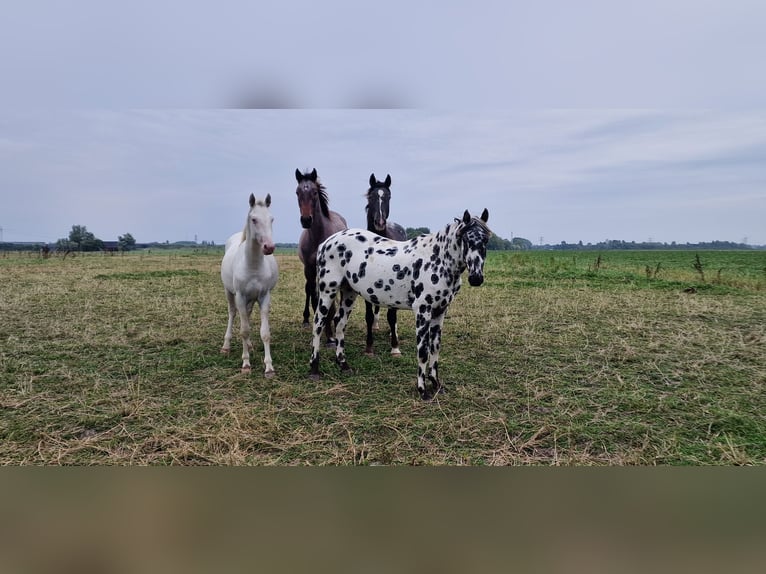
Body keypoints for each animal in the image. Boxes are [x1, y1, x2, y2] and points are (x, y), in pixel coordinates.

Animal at [220, 192, 280, 378]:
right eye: (254, 219)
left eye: (272, 219)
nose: (269, 247)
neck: (252, 265)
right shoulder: (240, 296)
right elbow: (244, 330)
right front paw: (246, 364)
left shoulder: (264, 296)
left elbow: (265, 333)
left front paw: (269, 367)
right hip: (229, 293)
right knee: (233, 313)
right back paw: (226, 346)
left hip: (251, 299)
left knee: (247, 314)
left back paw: (250, 345)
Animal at [296, 169, 350, 344]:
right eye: (298, 192)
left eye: (314, 192)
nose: (306, 220)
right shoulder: (309, 269)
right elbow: (314, 297)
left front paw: (330, 335)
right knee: (309, 290)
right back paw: (306, 319)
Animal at [310, 207, 492, 400]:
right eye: (466, 238)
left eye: (486, 239)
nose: (476, 278)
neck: (437, 260)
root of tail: (326, 243)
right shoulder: (422, 311)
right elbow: (423, 351)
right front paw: (423, 390)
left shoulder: (440, 311)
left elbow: (435, 348)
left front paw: (436, 384)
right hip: (328, 291)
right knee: (318, 324)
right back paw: (314, 369)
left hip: (348, 293)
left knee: (339, 323)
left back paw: (343, 365)